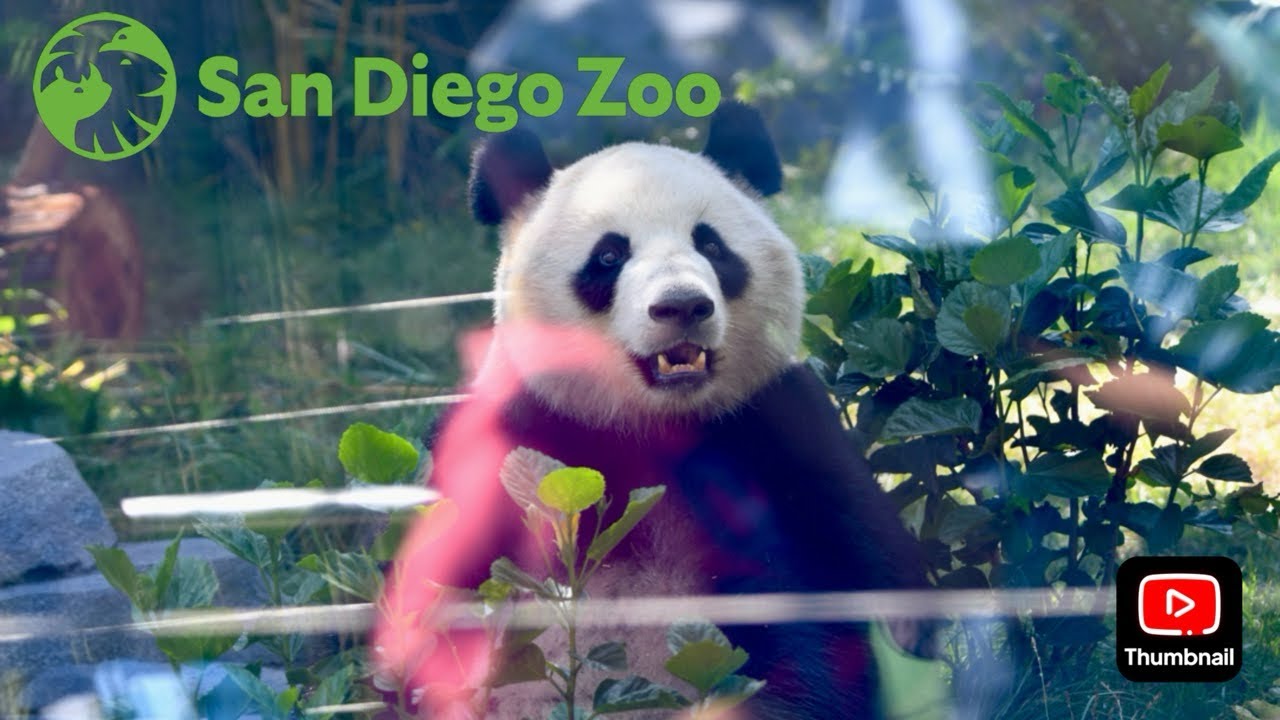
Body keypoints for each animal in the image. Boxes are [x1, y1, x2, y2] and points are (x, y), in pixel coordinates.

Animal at [375, 103, 931, 720]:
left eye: (710, 245)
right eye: (609, 255)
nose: (682, 305)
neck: (646, 422)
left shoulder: (776, 424)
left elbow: (857, 579)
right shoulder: (509, 434)